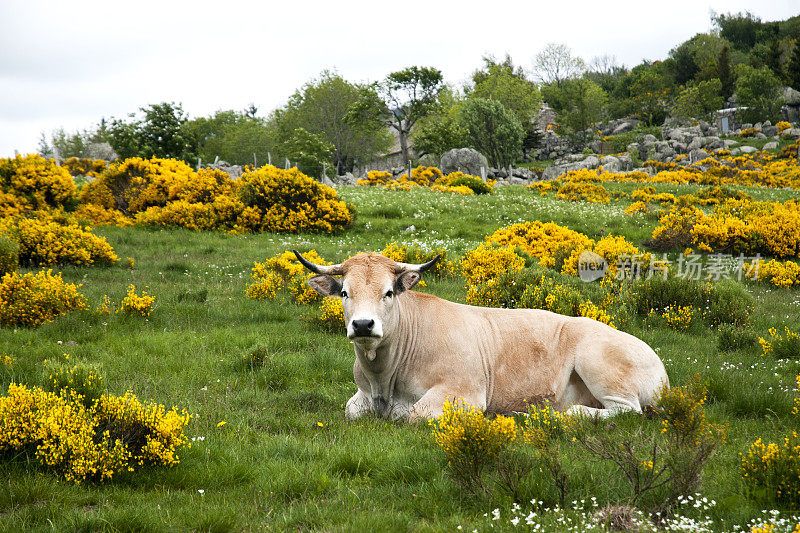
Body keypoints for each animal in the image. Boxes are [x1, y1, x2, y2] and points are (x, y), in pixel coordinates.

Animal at [294, 249, 668, 420]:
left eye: (388, 293)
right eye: (345, 293)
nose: (363, 325)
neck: (383, 377)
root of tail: (658, 363)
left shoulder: (463, 392)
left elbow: (413, 415)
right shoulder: (361, 396)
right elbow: (351, 410)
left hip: (598, 362)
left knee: (625, 411)